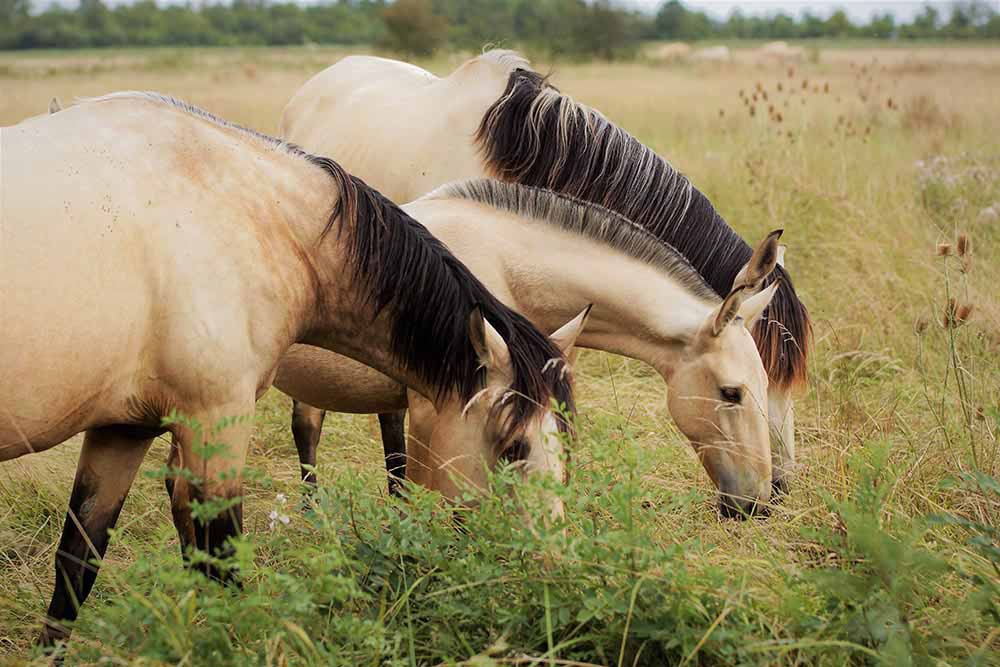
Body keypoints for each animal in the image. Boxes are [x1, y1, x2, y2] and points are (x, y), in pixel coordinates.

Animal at [0, 94, 580, 648]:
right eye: (513, 449)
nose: (551, 570)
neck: (245, 216)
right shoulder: (215, 423)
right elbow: (224, 567)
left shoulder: (123, 429)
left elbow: (76, 567)